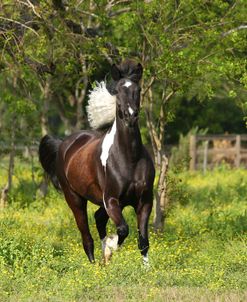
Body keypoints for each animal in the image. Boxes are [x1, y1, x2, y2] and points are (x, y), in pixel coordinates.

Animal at [38, 61, 154, 264]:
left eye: (138, 89)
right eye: (118, 90)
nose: (131, 116)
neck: (129, 158)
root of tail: (64, 145)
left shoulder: (145, 201)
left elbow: (143, 241)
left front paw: (146, 268)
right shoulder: (112, 200)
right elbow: (123, 229)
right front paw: (110, 247)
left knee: (98, 218)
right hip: (75, 200)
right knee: (87, 237)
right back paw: (95, 263)